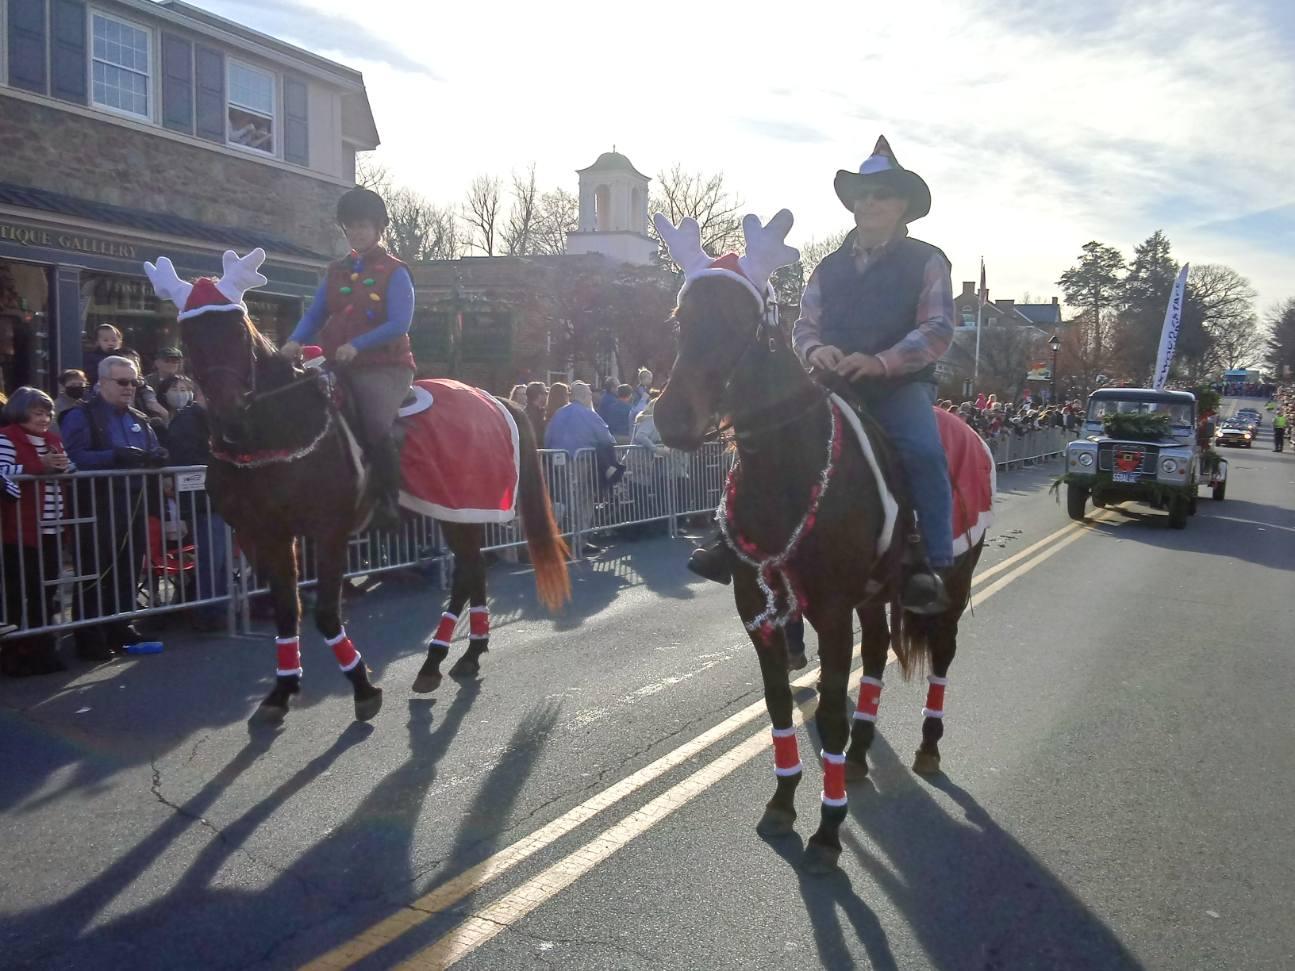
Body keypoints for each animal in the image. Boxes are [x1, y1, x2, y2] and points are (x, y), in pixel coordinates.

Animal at [144, 247, 569, 725]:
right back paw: (464, 654)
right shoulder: (266, 536)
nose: (230, 413)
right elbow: (287, 611)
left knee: (466, 573)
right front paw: (282, 690)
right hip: (454, 512)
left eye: (238, 328)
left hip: (462, 510)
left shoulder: (328, 532)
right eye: (187, 333)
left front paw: (362, 686)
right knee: (471, 571)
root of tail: (495, 398)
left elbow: (327, 614)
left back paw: (437, 660)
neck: (280, 430)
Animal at [652, 207, 994, 875]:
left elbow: (829, 713)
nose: (672, 419)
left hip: (953, 581)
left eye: (743, 322)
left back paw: (928, 747)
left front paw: (829, 831)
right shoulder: (758, 609)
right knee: (880, 653)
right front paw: (783, 803)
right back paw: (860, 757)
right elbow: (781, 706)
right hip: (876, 593)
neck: (789, 470)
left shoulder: (832, 611)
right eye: (680, 318)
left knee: (941, 657)